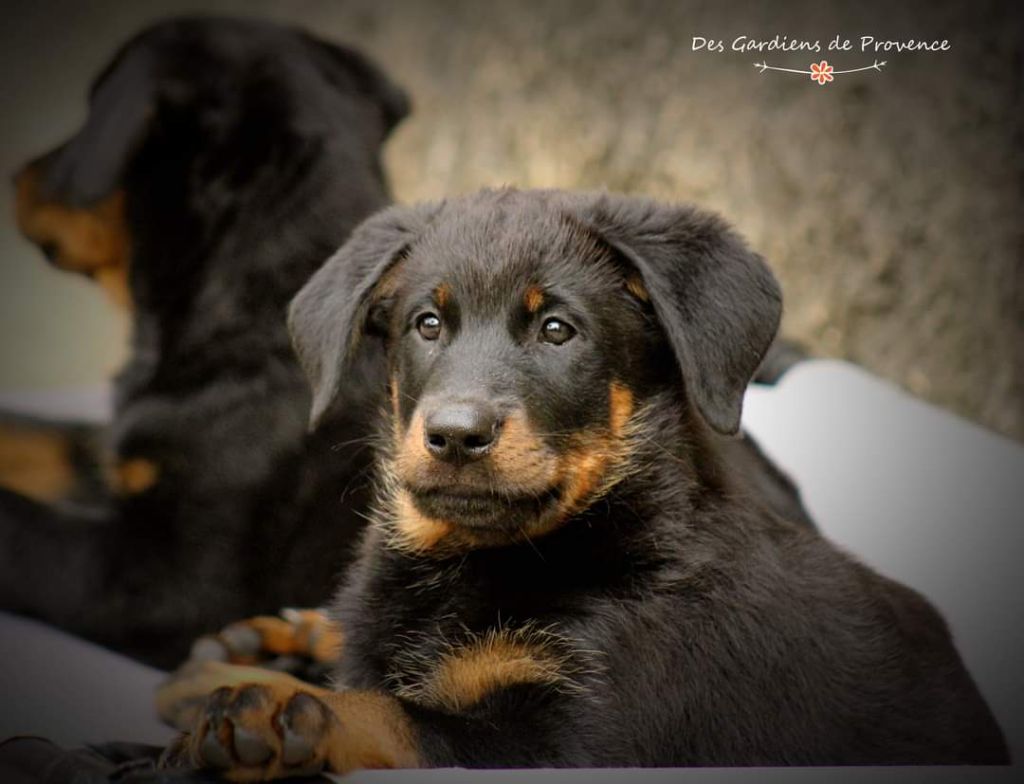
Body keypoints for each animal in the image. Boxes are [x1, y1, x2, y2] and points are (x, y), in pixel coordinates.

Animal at [165, 187, 1007, 777]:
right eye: (425, 325)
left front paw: (282, 712)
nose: (456, 434)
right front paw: (238, 675)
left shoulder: (575, 741)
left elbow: (393, 715)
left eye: (557, 330)